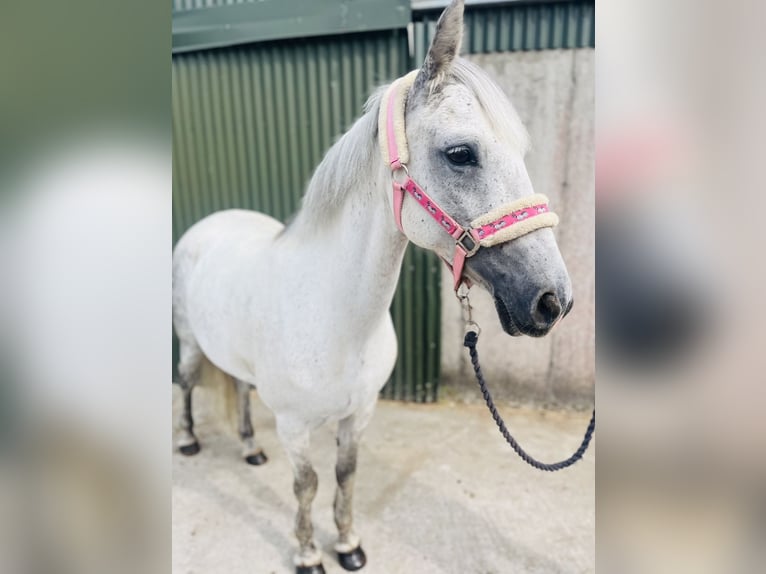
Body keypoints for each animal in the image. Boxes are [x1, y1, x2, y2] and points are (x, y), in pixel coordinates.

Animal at [172, 1, 572, 572]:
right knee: (186, 383)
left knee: (243, 392)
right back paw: (187, 441)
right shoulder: (294, 425)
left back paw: (250, 449)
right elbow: (306, 484)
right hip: (188, 341)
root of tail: (208, 225)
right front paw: (308, 553)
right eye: (460, 153)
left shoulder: (358, 415)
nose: (552, 300)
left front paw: (348, 545)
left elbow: (345, 476)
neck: (336, 321)